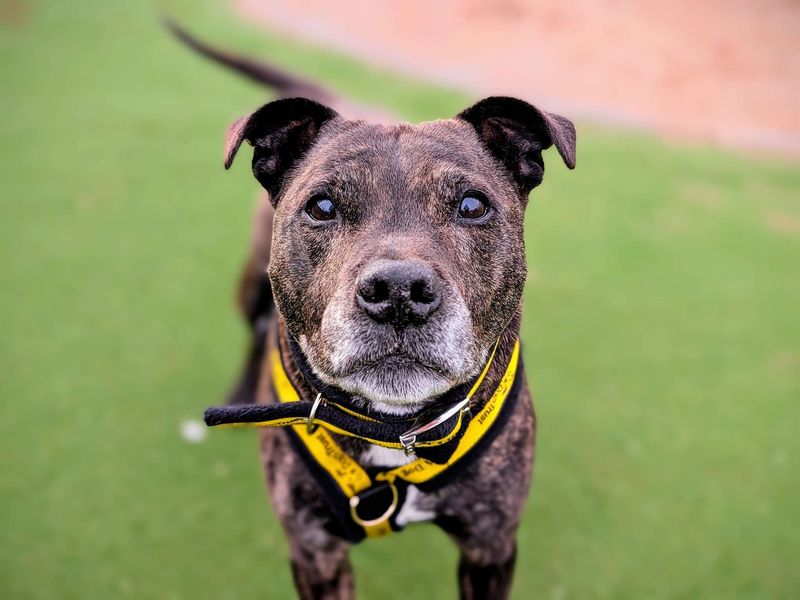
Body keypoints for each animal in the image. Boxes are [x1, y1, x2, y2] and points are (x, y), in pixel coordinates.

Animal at [169, 21, 576, 596]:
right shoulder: (315, 552)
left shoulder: (490, 545)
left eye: (472, 205)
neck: (395, 428)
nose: (399, 290)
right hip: (248, 287)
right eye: (322, 206)